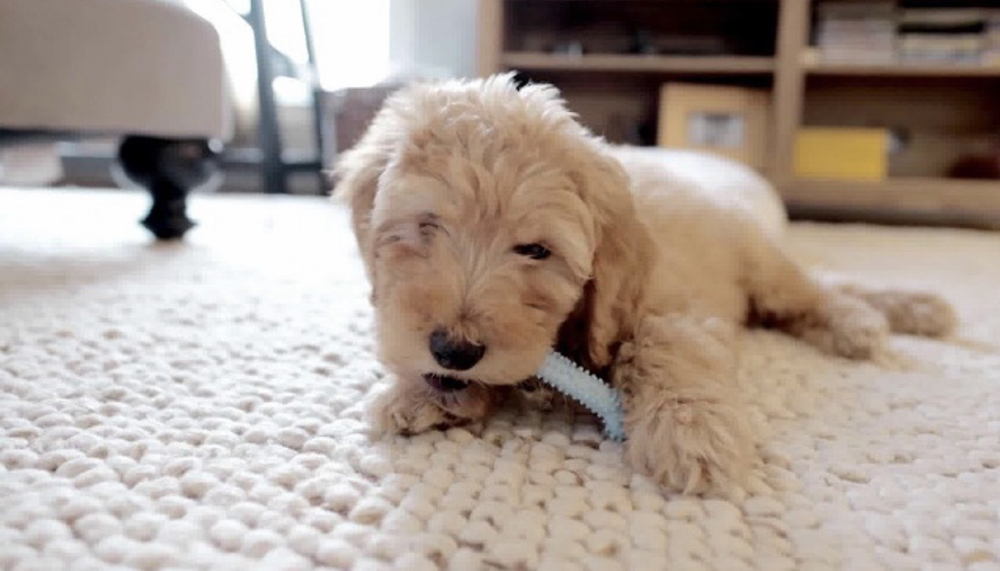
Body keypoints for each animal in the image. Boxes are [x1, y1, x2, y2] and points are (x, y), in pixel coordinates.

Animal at [332, 75, 956, 496]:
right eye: (426, 226)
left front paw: (690, 431)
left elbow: (667, 349)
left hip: (765, 271)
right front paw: (420, 394)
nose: (454, 350)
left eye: (535, 250)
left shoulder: (669, 305)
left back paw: (864, 321)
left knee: (813, 293)